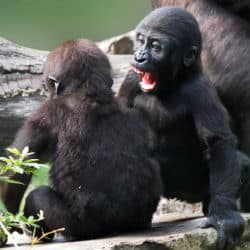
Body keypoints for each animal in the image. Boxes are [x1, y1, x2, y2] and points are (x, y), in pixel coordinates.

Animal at [118, 6, 244, 249]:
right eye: (140, 41)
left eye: (156, 47)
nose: (139, 57)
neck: (172, 83)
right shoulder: (131, 79)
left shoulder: (200, 90)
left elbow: (218, 142)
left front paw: (223, 215)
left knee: (241, 163)